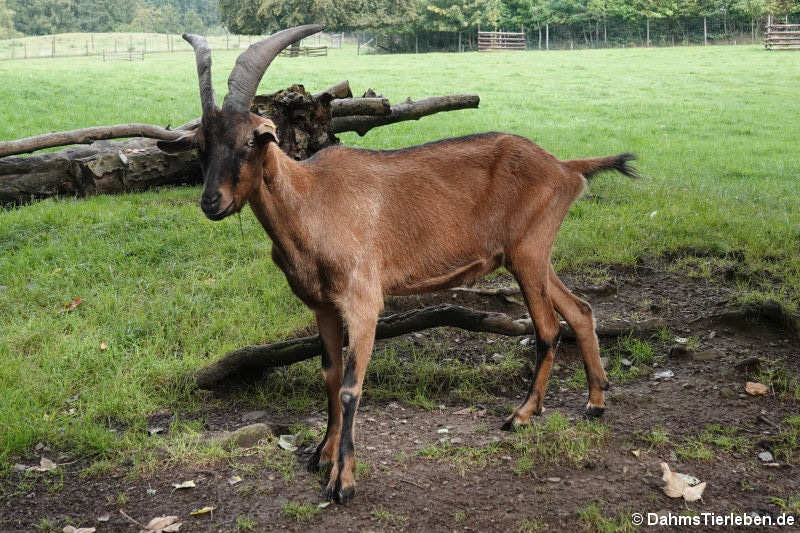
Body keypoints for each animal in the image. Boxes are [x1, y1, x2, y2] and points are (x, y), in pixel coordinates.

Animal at [158, 23, 636, 498]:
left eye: (250, 141)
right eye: (199, 145)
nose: (211, 202)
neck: (312, 201)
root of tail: (566, 167)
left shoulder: (363, 300)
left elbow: (350, 386)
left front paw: (343, 480)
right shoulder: (322, 305)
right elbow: (329, 375)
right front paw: (321, 455)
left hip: (529, 251)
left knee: (548, 327)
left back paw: (521, 414)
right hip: (530, 254)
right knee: (580, 310)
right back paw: (595, 402)